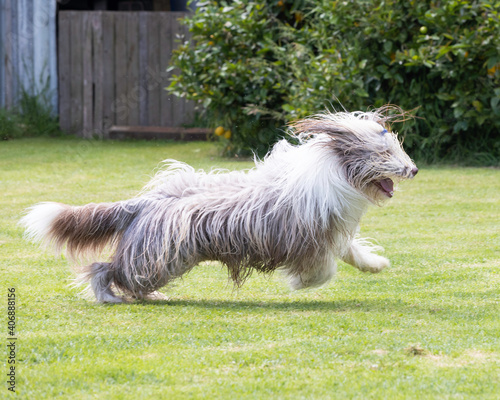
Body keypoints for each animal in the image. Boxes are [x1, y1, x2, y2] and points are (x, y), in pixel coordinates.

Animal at [19, 108, 418, 302]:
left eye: (396, 148)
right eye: (384, 153)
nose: (413, 169)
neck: (334, 169)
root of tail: (143, 202)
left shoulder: (331, 228)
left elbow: (350, 251)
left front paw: (376, 264)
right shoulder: (308, 238)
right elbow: (323, 270)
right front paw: (299, 282)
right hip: (159, 257)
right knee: (104, 268)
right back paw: (108, 296)